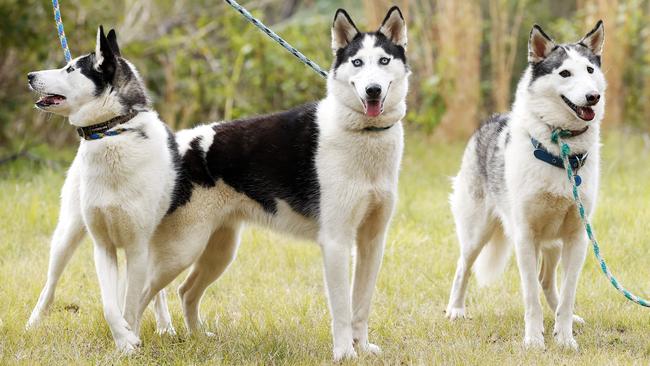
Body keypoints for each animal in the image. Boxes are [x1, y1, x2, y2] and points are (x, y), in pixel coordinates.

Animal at [26, 26, 176, 352]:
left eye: (70, 69)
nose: (30, 75)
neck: (112, 131)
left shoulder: (137, 249)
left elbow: (131, 304)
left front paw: (129, 340)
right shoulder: (103, 247)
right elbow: (110, 305)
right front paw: (123, 340)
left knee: (156, 290)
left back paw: (166, 326)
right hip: (67, 235)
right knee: (49, 286)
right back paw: (32, 324)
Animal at [121, 6, 404, 360]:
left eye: (383, 60)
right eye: (357, 63)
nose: (373, 91)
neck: (362, 133)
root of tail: (176, 146)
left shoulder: (371, 242)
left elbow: (361, 305)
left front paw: (362, 348)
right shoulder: (336, 243)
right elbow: (342, 309)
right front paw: (344, 354)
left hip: (218, 251)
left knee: (185, 292)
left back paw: (198, 338)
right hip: (183, 250)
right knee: (138, 298)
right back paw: (130, 345)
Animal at [446, 21, 604, 350]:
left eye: (589, 70)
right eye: (565, 73)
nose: (593, 96)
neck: (560, 150)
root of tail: (491, 119)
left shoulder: (577, 237)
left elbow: (567, 294)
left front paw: (565, 337)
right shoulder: (524, 236)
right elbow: (530, 296)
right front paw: (533, 340)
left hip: (553, 243)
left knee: (548, 281)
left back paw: (563, 320)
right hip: (477, 232)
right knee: (463, 267)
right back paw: (455, 310)